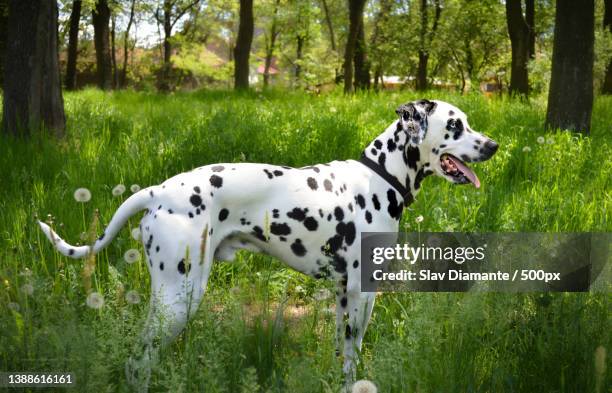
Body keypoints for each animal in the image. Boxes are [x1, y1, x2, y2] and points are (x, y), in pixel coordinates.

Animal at [37, 99, 498, 388]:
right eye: (456, 126)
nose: (493, 145)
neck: (379, 177)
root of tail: (157, 192)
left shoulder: (345, 297)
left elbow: (342, 356)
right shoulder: (359, 294)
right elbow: (353, 358)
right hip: (179, 297)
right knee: (138, 363)